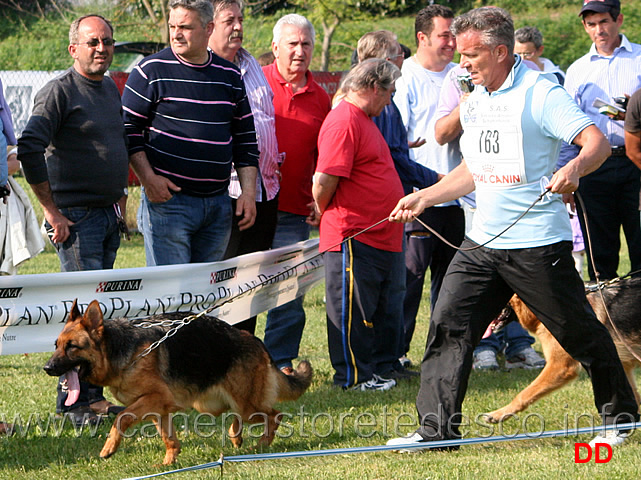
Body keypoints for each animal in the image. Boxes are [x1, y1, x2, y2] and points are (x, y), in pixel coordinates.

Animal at [42, 300, 312, 464]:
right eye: (56, 345)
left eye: (72, 347)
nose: (47, 368)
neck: (121, 351)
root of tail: (255, 341)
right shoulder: (159, 408)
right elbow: (168, 437)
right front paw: (169, 462)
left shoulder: (154, 399)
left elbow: (121, 418)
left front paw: (109, 448)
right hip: (214, 404)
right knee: (240, 415)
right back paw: (236, 437)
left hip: (246, 405)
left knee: (274, 414)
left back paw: (261, 445)